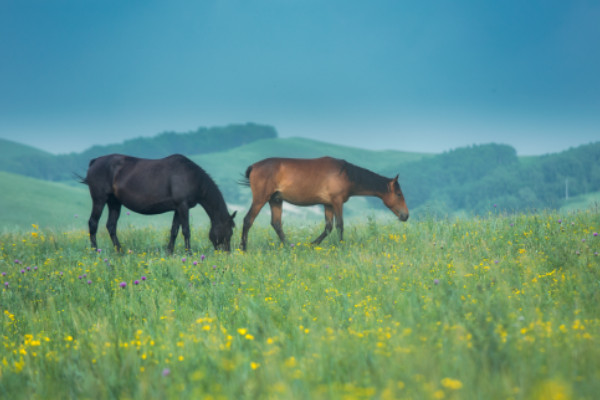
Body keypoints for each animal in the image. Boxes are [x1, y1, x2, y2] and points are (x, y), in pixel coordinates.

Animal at [82, 154, 237, 252]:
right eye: (228, 232)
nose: (226, 253)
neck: (192, 176)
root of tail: (94, 161)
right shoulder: (183, 206)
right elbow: (186, 231)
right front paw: (189, 253)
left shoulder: (178, 208)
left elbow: (174, 231)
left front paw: (169, 252)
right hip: (99, 200)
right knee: (93, 223)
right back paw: (95, 251)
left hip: (114, 202)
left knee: (111, 226)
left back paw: (120, 252)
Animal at [239, 156, 408, 250]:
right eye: (399, 194)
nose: (405, 215)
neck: (346, 174)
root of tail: (254, 166)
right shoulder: (337, 202)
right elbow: (340, 225)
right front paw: (341, 246)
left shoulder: (328, 204)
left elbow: (328, 227)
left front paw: (312, 244)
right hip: (260, 199)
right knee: (248, 220)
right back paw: (243, 248)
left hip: (275, 200)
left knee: (276, 224)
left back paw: (289, 246)